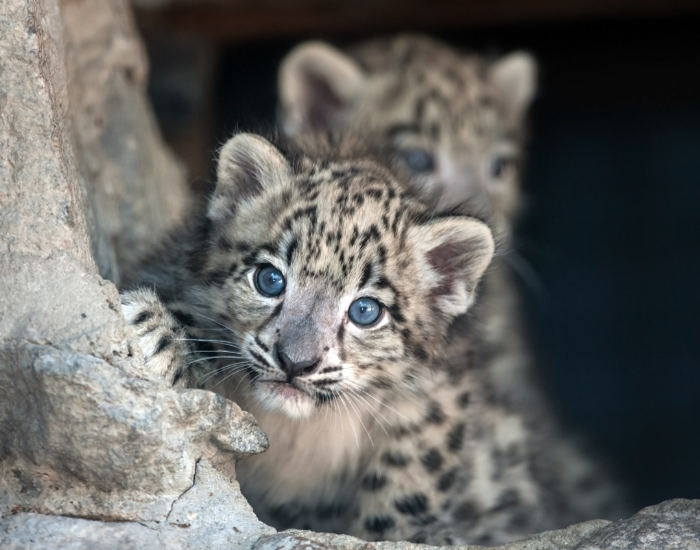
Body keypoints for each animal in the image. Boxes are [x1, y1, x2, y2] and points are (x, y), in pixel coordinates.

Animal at [121, 130, 622, 546]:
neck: (296, 435)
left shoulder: (436, 401)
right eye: (269, 279)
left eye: (365, 311)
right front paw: (155, 328)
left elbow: (413, 473)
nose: (295, 361)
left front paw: (407, 531)